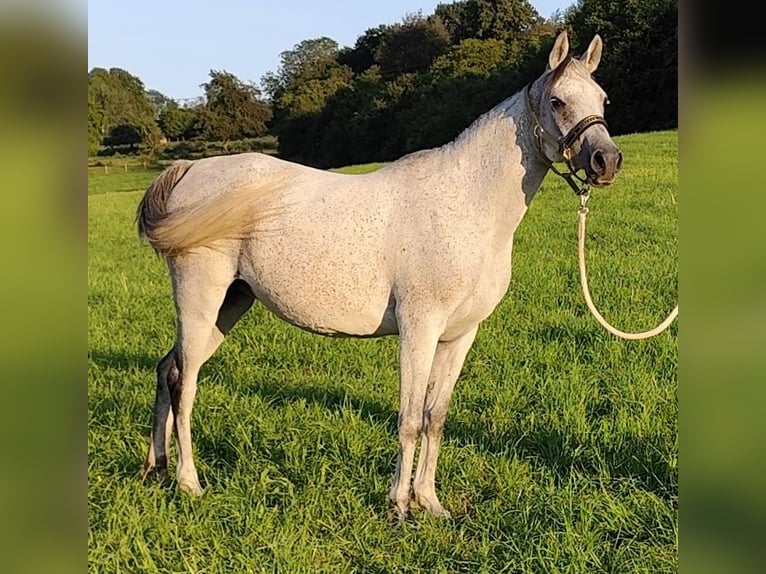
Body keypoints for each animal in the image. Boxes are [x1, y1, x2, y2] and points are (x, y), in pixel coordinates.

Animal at [140, 31, 624, 520]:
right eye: (558, 101)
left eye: (603, 98)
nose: (606, 160)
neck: (466, 204)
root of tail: (190, 170)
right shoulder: (419, 328)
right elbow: (409, 420)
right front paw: (400, 507)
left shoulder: (459, 335)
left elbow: (435, 418)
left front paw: (430, 502)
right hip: (200, 298)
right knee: (185, 383)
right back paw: (189, 482)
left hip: (231, 303)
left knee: (168, 369)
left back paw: (154, 467)